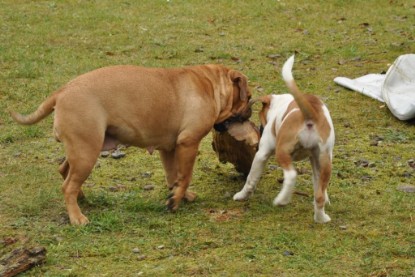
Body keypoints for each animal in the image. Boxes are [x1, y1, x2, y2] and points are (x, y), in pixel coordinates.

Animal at [12, 63, 254, 223]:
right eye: (248, 97)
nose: (250, 110)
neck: (211, 84)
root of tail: (61, 92)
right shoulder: (188, 143)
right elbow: (185, 176)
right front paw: (175, 201)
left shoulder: (169, 149)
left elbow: (173, 175)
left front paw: (178, 195)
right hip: (86, 152)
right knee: (68, 185)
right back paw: (77, 217)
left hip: (81, 149)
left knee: (64, 171)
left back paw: (82, 198)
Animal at [234, 55, 334, 223]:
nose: (261, 128)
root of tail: (311, 113)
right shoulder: (315, 160)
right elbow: (319, 188)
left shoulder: (261, 155)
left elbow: (251, 179)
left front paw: (242, 195)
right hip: (324, 160)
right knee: (319, 195)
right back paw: (321, 218)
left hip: (282, 151)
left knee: (291, 175)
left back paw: (282, 200)